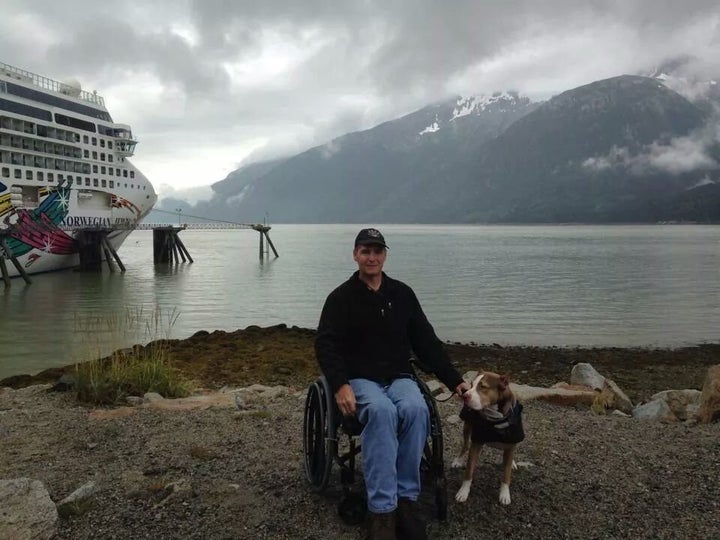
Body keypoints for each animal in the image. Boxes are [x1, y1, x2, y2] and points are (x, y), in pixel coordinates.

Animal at [450, 372, 524, 506]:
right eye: (471, 384)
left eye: (483, 387)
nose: (464, 395)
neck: (495, 418)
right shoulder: (476, 443)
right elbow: (469, 471)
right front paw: (463, 492)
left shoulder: (511, 443)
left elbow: (506, 474)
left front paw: (504, 494)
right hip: (467, 426)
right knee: (465, 445)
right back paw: (458, 460)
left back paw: (512, 462)